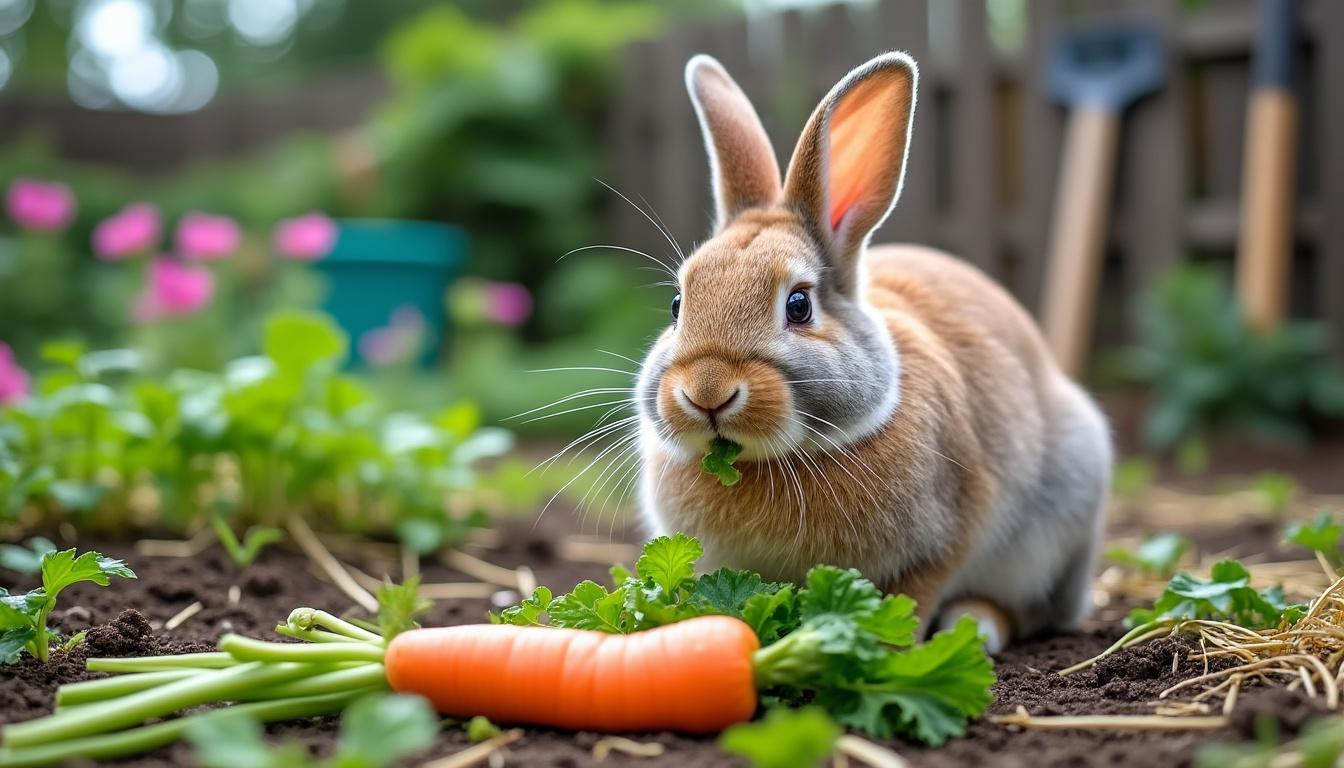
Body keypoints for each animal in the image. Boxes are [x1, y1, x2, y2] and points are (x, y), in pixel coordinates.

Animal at [633, 51, 1112, 653]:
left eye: (798, 306)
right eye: (678, 304)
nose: (707, 392)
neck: (774, 462)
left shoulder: (950, 531)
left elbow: (916, 597)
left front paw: (884, 649)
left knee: (1029, 611)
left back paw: (976, 626)